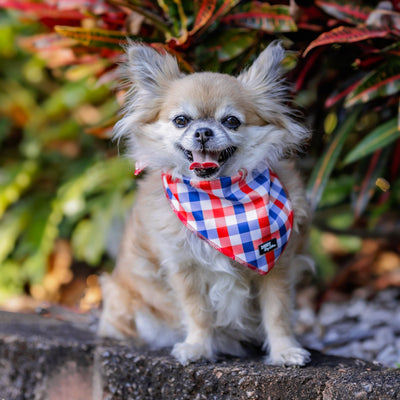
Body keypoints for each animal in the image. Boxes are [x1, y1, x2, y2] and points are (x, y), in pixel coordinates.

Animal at [97, 40, 312, 366]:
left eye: (231, 121)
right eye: (181, 121)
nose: (202, 131)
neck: (219, 201)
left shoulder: (277, 267)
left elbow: (277, 313)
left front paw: (284, 350)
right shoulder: (184, 269)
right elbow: (198, 313)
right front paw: (197, 347)